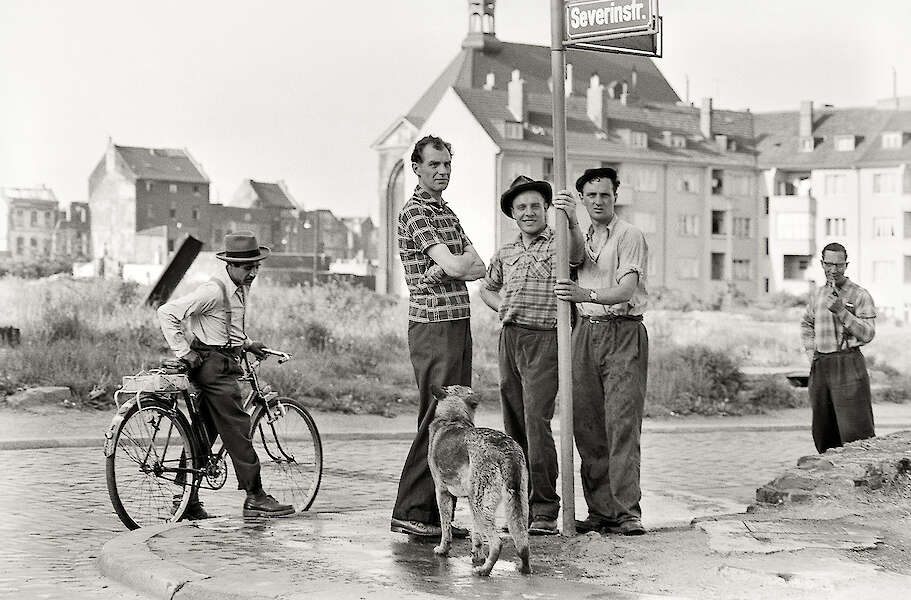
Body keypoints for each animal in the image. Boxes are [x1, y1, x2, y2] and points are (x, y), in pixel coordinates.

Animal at [430, 384, 536, 576]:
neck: (453, 418)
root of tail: (505, 447)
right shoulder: (470, 500)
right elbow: (476, 536)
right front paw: (476, 556)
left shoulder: (442, 493)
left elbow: (445, 528)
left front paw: (443, 550)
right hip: (517, 505)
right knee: (523, 543)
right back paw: (523, 567)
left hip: (482, 506)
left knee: (497, 542)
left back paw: (484, 569)